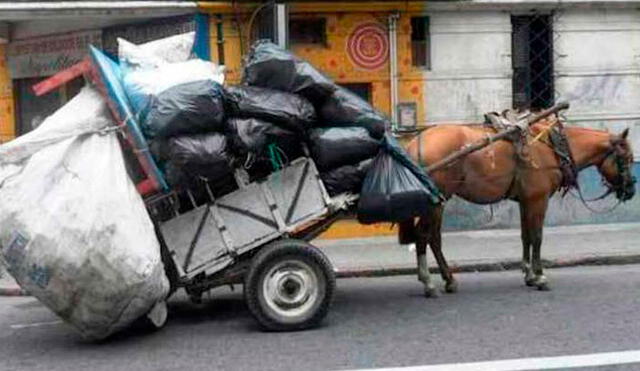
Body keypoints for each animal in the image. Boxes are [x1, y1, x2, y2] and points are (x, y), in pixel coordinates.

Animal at [400, 117, 636, 298]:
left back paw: (448, 280)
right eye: (626, 158)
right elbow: (537, 237)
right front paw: (540, 277)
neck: (552, 147)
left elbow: (526, 236)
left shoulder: (526, 200)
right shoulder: (539, 199)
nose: (631, 190)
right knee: (424, 235)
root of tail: (415, 144)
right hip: (436, 200)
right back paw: (429, 282)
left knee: (433, 238)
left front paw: (529, 274)